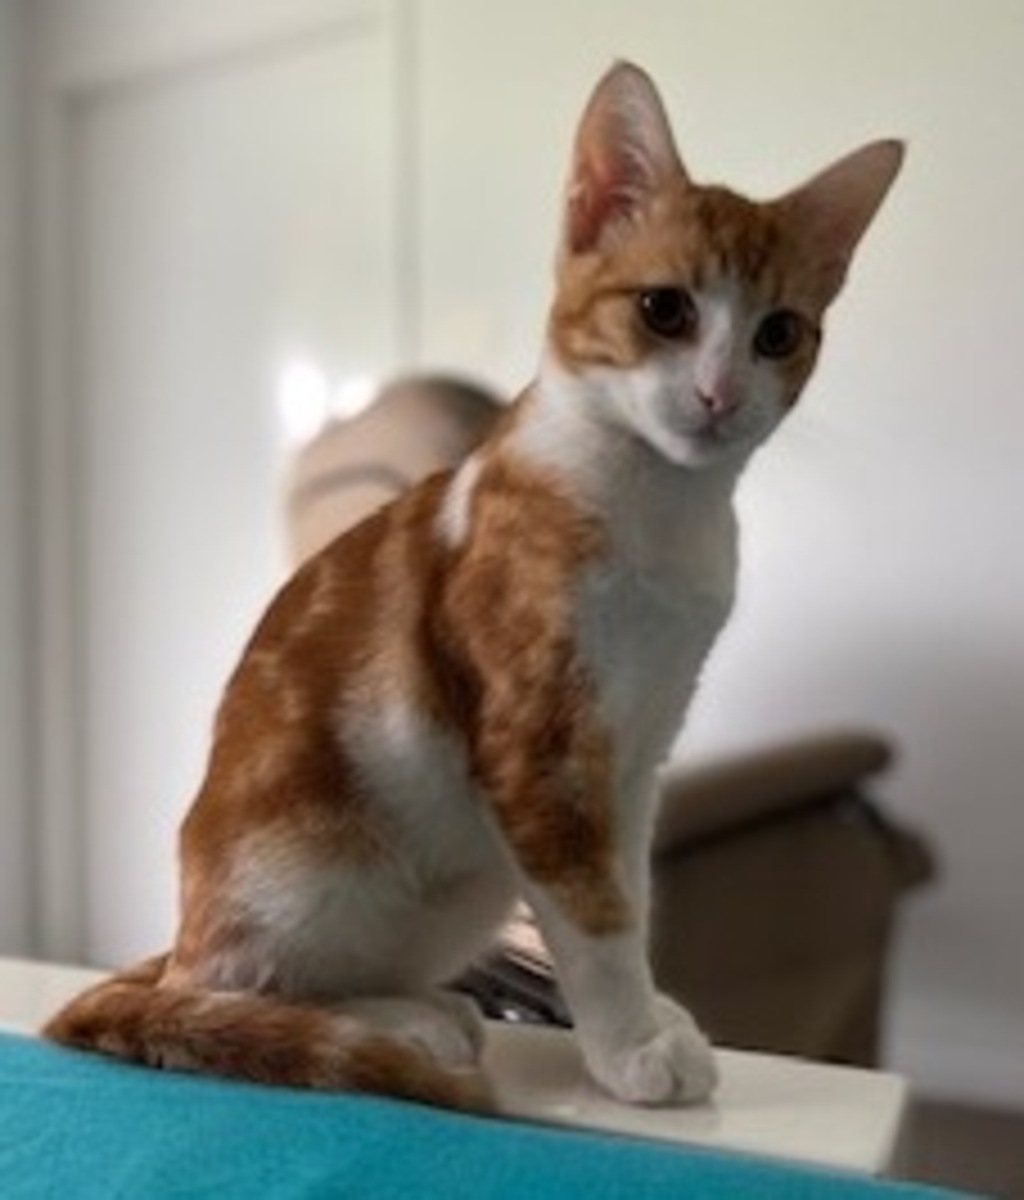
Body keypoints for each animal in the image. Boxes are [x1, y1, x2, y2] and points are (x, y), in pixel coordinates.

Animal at [44, 61, 903, 1113]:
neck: (663, 511)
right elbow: (595, 920)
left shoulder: (638, 755)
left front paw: (652, 1013)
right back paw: (395, 1021)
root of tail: (182, 938)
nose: (717, 395)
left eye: (779, 333)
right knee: (237, 992)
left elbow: (632, 894)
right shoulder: (541, 751)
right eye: (664, 309)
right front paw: (630, 1048)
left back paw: (428, 1001)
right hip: (313, 866)